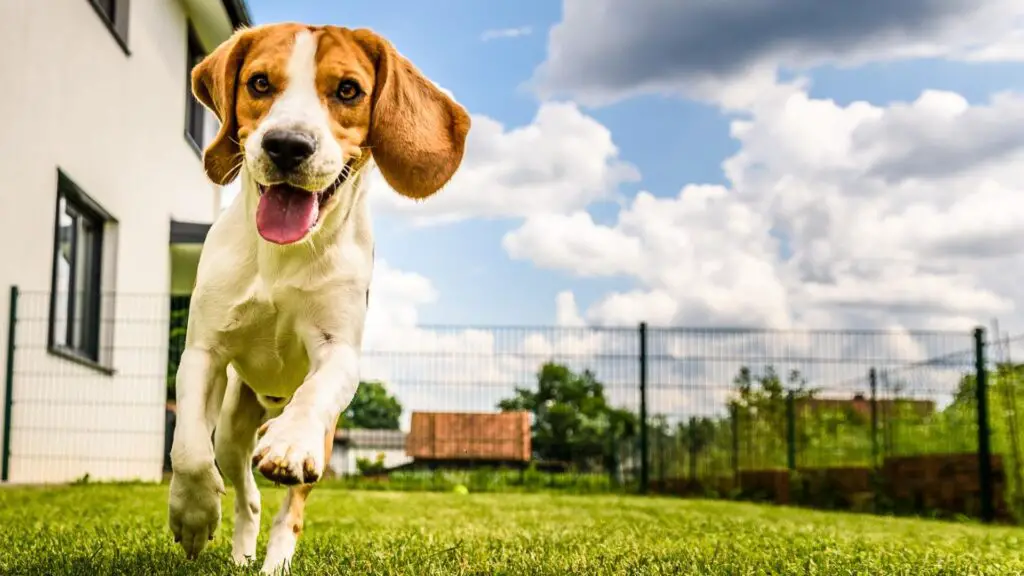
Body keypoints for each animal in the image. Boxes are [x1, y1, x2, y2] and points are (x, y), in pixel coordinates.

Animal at [168, 21, 471, 569]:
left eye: (348, 90)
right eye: (259, 83)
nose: (288, 145)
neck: (282, 257)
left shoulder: (339, 352)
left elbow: (316, 392)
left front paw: (287, 444)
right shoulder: (203, 350)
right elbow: (188, 450)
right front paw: (194, 515)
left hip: (325, 443)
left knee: (288, 513)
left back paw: (274, 563)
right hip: (233, 427)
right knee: (245, 494)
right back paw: (241, 555)